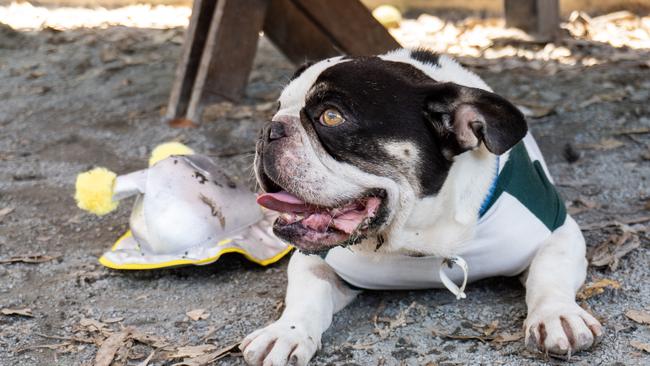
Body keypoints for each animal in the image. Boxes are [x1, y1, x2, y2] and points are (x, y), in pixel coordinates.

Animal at [240, 49, 600, 366]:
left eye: (331, 116)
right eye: (277, 108)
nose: (269, 128)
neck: (418, 236)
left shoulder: (558, 231)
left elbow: (549, 270)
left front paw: (556, 315)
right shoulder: (316, 259)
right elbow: (307, 292)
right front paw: (285, 332)